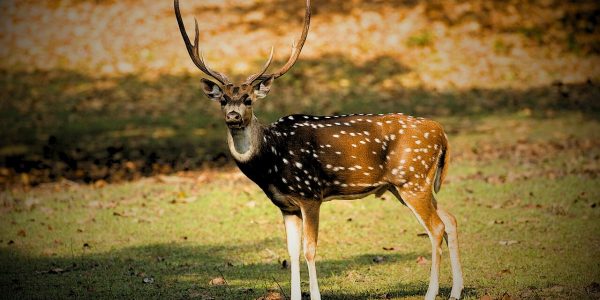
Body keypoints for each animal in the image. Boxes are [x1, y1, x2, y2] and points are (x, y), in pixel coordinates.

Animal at [173, 0, 464, 300]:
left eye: (248, 99)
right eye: (222, 100)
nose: (233, 116)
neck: (272, 161)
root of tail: (441, 133)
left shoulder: (310, 194)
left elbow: (309, 250)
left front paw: (314, 295)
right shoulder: (286, 205)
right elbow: (291, 251)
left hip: (412, 180)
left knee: (436, 227)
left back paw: (432, 293)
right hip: (405, 186)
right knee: (451, 219)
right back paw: (456, 291)